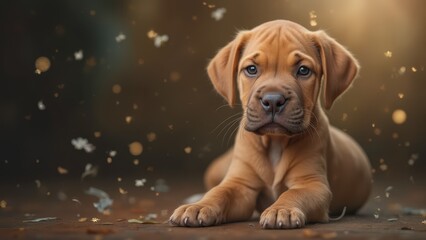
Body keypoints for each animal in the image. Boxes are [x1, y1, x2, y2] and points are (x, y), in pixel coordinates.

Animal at [170, 20, 372, 229]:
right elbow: (219, 192)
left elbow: (293, 193)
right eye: (251, 69)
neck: (275, 142)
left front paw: (281, 209)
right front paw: (199, 206)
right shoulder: (240, 184)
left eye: (303, 70)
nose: (273, 100)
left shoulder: (312, 184)